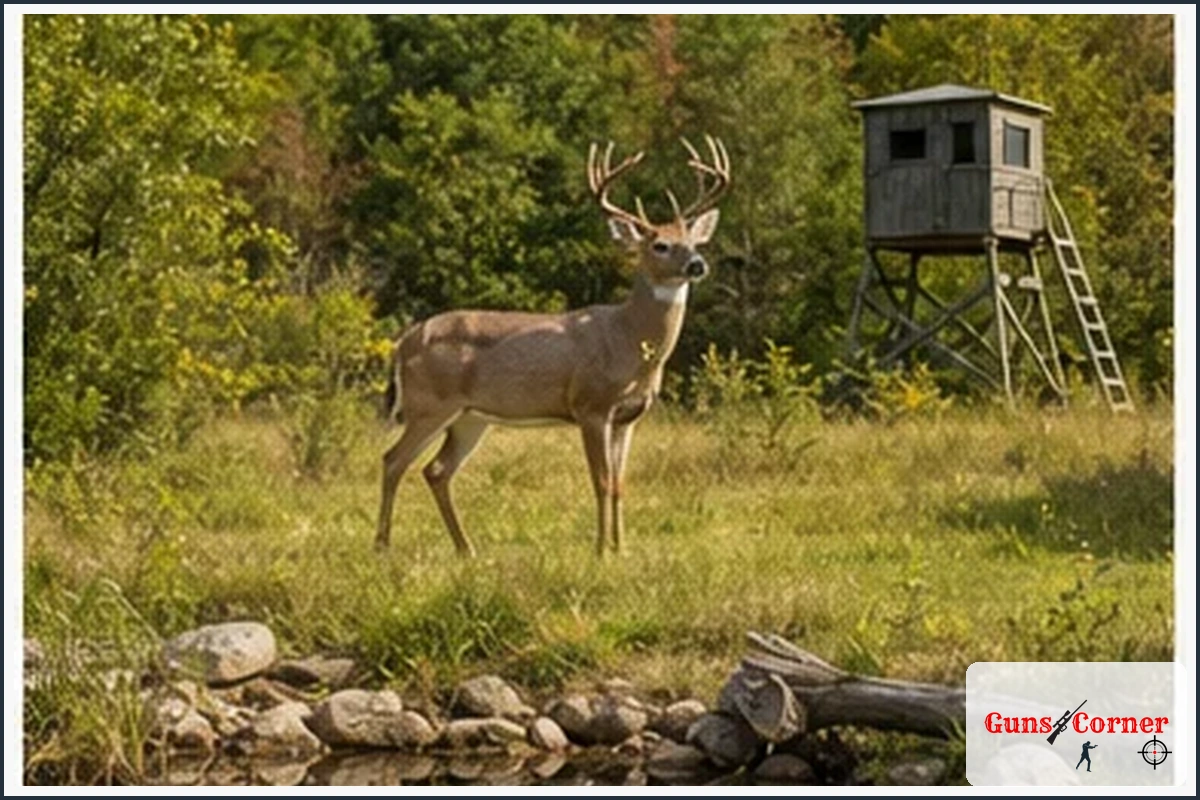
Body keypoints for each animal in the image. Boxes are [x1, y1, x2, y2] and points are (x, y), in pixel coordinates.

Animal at [376, 136, 731, 557]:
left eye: (692, 241)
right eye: (660, 245)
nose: (697, 264)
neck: (627, 338)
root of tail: (403, 343)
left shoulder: (629, 416)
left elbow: (620, 485)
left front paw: (621, 548)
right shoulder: (591, 406)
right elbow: (601, 482)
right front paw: (600, 551)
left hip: (470, 417)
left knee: (436, 470)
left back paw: (466, 549)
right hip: (429, 405)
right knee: (393, 460)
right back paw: (381, 546)